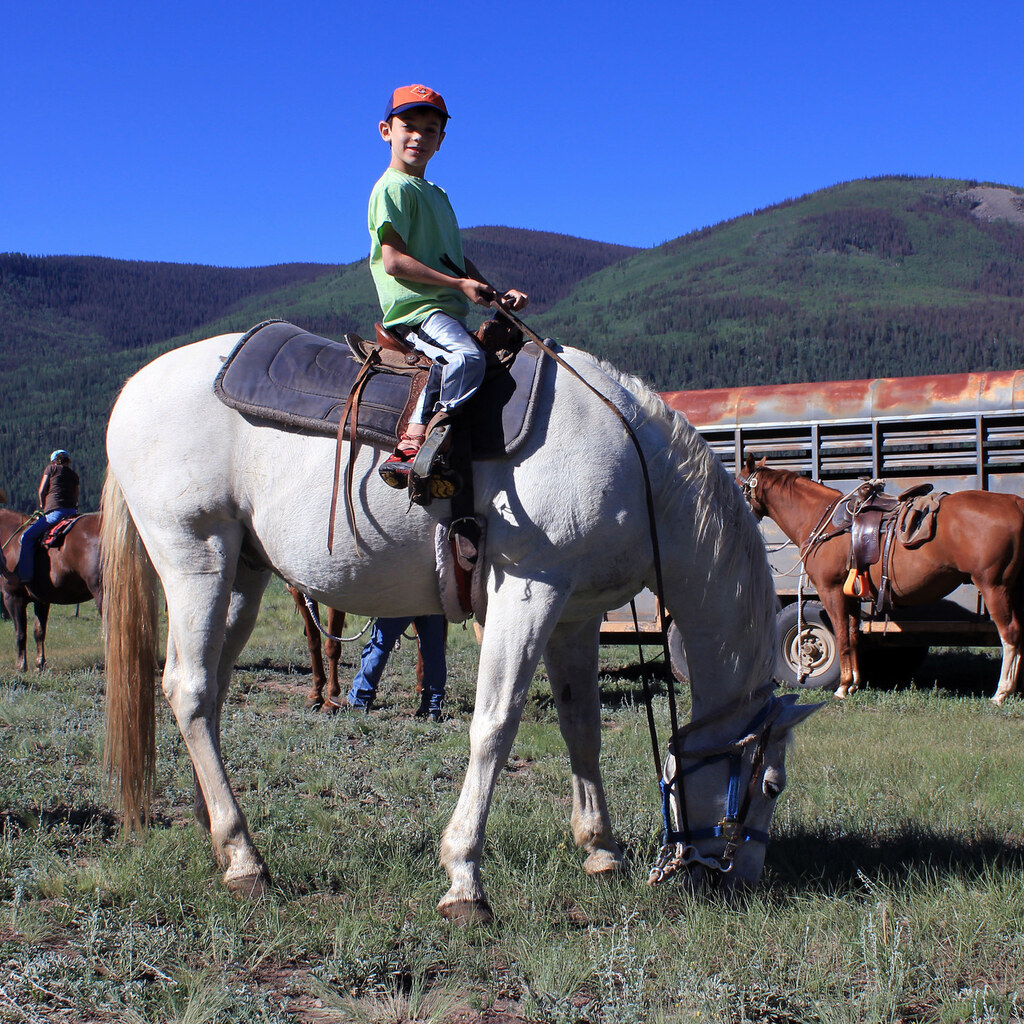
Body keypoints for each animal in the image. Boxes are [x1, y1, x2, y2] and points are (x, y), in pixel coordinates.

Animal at [0, 510, 103, 671]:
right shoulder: (41, 600)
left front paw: (20, 666)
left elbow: (20, 633)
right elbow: (39, 632)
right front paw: (39, 664)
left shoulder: (13, 597)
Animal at [100, 332, 820, 922]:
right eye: (770, 784)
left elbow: (581, 726)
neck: (638, 471)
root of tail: (135, 388)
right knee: (189, 688)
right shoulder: (528, 590)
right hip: (195, 556)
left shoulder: (575, 613)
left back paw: (219, 837)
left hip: (241, 577)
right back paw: (245, 859)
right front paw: (464, 878)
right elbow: (496, 725)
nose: (742, 880)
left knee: (210, 695)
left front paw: (600, 851)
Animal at [739, 456, 1024, 704]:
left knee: (1009, 633)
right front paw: (853, 683)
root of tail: (1015, 503)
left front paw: (842, 687)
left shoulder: (830, 590)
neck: (821, 519)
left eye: (739, 484)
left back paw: (1001, 693)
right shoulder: (851, 596)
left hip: (994, 585)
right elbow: (853, 635)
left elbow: (841, 635)